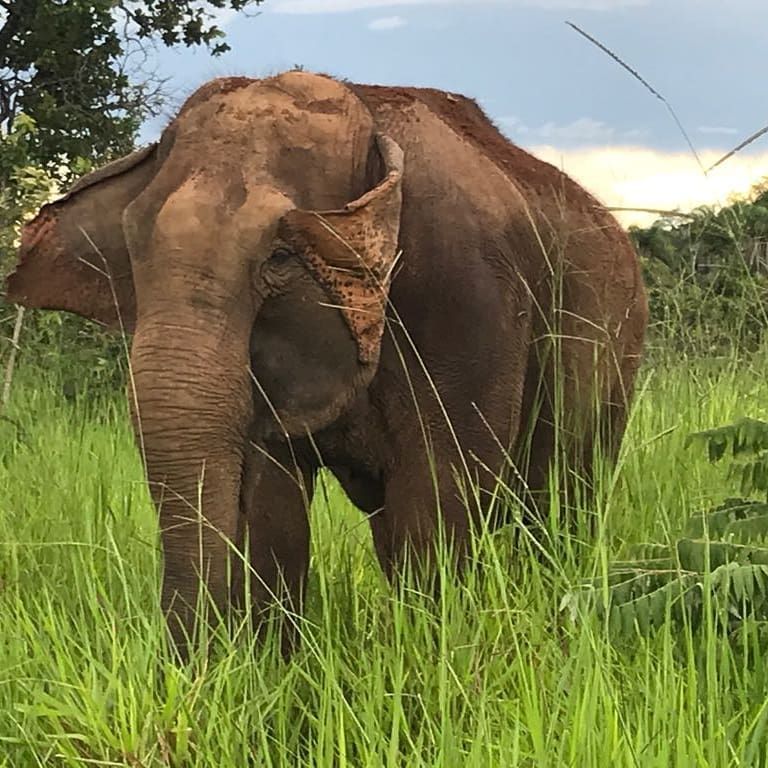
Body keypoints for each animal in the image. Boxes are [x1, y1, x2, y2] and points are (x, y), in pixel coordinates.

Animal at [5, 70, 648, 654]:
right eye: (132, 250)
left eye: (280, 255)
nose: (194, 673)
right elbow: (273, 509)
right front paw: (277, 670)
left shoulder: (468, 297)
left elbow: (441, 496)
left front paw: (428, 663)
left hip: (615, 353)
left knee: (561, 499)